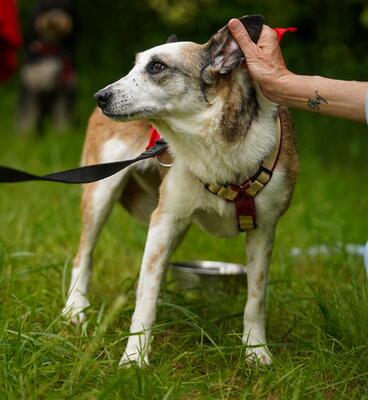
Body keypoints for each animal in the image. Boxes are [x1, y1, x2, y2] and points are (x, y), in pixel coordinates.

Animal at [18, 0, 77, 134]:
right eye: (46, 6)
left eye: (64, 7)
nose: (54, 16)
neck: (50, 48)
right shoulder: (31, 85)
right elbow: (28, 113)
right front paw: (26, 135)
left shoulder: (63, 87)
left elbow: (61, 111)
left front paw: (61, 132)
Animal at [61, 16, 298, 366]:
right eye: (134, 65)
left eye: (158, 66)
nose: (100, 96)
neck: (214, 148)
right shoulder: (165, 219)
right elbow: (145, 298)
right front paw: (134, 359)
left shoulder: (264, 229)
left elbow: (255, 299)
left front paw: (256, 352)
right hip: (101, 191)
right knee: (84, 254)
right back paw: (75, 309)